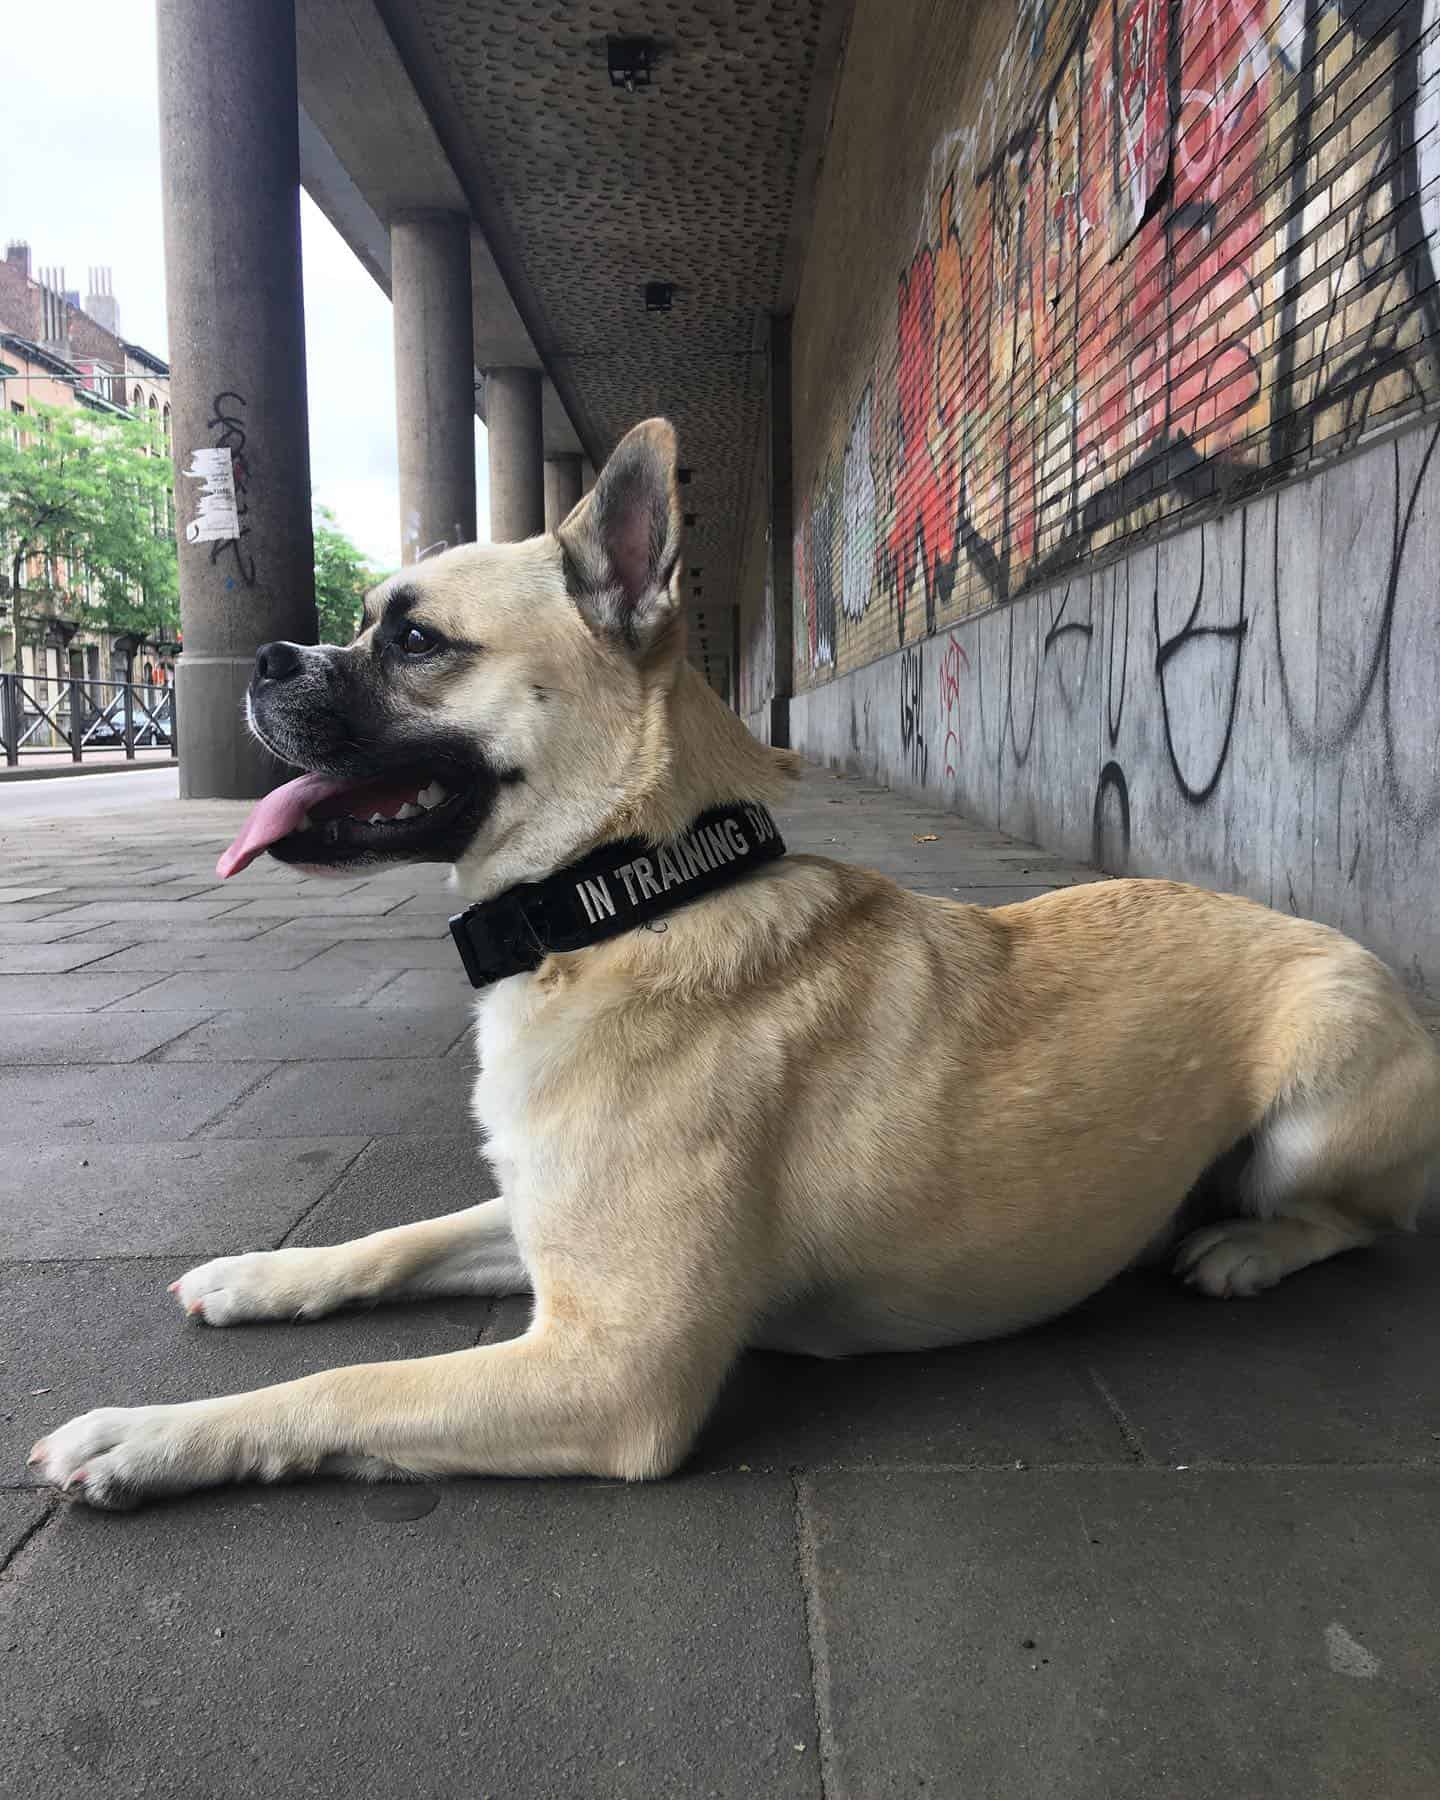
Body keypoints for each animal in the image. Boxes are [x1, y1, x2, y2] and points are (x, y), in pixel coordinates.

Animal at [31, 421, 1440, 1504]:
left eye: (416, 641)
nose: (268, 655)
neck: (617, 902)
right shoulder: (545, 1232)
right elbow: (394, 1240)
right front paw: (260, 1275)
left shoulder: (610, 1370)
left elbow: (349, 1388)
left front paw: (146, 1436)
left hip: (1317, 1104)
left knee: (1361, 1221)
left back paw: (1241, 1248)